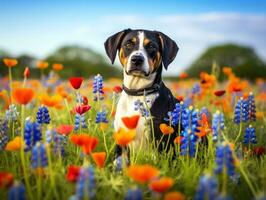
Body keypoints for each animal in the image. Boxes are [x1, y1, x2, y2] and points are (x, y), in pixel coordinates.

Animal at [104, 28, 179, 161]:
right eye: (128, 44)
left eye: (151, 46)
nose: (137, 59)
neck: (136, 92)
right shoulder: (121, 143)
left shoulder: (159, 144)